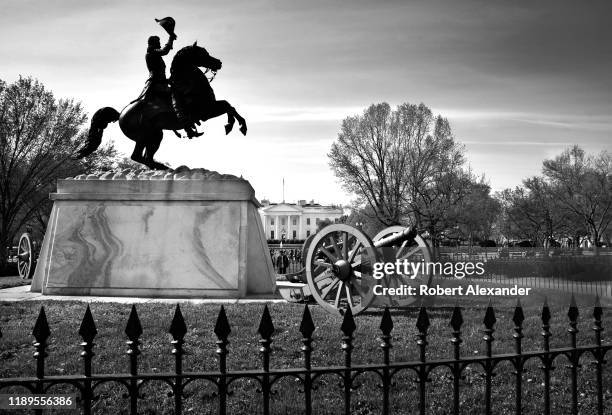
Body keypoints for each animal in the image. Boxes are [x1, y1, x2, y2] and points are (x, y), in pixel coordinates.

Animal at [76, 42, 246, 171]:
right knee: (140, 156)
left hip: (151, 136)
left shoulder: (210, 107)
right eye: (202, 53)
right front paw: (235, 126)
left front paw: (236, 125)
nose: (219, 63)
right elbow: (228, 107)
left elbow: (229, 105)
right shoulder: (205, 112)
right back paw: (163, 168)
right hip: (151, 136)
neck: (190, 84)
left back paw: (160, 168)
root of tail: (120, 115)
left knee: (141, 156)